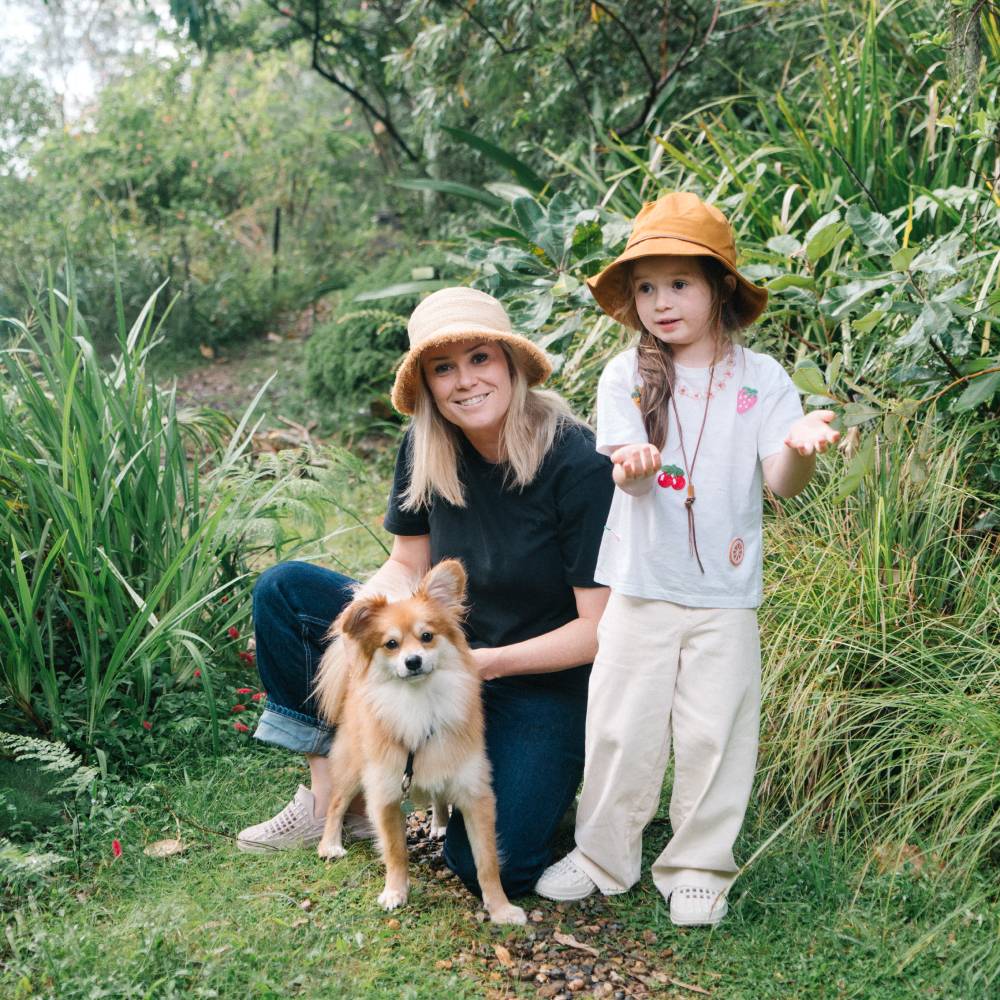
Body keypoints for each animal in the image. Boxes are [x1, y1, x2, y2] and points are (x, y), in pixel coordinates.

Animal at [314, 560, 528, 924]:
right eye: (391, 644)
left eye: (427, 637)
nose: (412, 661)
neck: (420, 703)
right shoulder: (385, 794)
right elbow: (395, 852)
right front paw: (395, 892)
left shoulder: (475, 793)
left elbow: (486, 862)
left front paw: (500, 908)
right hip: (355, 765)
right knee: (336, 801)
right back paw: (329, 844)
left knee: (438, 797)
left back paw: (440, 823)